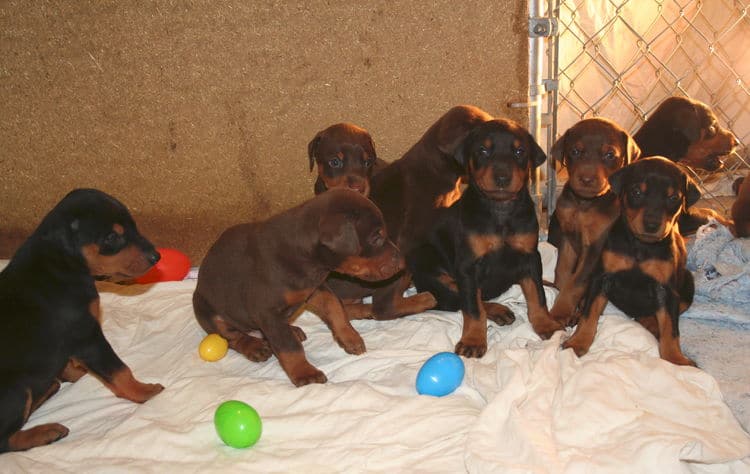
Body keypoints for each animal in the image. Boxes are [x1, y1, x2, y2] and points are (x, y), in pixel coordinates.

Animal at [0, 188, 164, 452]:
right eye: (111, 237)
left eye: (133, 226)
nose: (156, 256)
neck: (63, 262)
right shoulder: (86, 334)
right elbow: (118, 369)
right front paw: (142, 391)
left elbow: (69, 362)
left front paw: (74, 373)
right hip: (16, 389)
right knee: (4, 439)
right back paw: (45, 431)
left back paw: (49, 387)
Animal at [194, 187, 406, 386]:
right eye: (376, 237)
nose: (402, 261)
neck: (306, 258)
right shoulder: (266, 311)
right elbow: (288, 347)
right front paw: (304, 373)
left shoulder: (314, 289)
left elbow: (335, 307)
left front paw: (349, 337)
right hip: (206, 310)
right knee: (233, 337)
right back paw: (255, 346)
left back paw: (293, 330)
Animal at [412, 117, 564, 356]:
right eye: (483, 150)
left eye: (519, 151)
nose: (502, 177)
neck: (500, 209)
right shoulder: (468, 266)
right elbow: (473, 308)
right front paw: (473, 340)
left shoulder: (530, 257)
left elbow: (537, 294)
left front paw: (545, 324)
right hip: (428, 266)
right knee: (460, 297)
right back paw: (497, 310)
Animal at [548, 118, 644, 326]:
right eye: (575, 151)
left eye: (610, 155)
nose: (586, 179)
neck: (584, 203)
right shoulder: (568, 238)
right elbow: (563, 272)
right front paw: (561, 299)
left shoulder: (594, 248)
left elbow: (576, 283)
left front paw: (560, 311)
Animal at [568, 157, 704, 368]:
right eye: (637, 192)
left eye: (673, 198)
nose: (652, 224)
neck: (641, 246)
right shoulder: (602, 277)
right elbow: (589, 313)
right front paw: (577, 343)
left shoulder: (666, 288)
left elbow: (671, 328)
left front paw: (676, 359)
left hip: (687, 282)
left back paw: (651, 324)